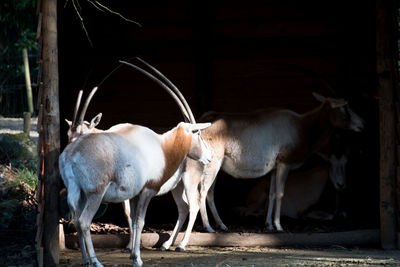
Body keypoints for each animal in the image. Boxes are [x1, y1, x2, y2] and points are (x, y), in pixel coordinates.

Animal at [59, 61, 212, 267]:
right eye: (198, 133)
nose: (209, 157)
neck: (162, 146)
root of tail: (71, 153)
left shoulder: (134, 194)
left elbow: (132, 220)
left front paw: (133, 254)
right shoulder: (147, 190)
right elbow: (140, 221)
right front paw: (137, 259)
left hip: (83, 193)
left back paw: (86, 260)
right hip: (95, 194)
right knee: (83, 221)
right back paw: (96, 261)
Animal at [160, 93, 362, 251]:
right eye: (345, 107)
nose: (362, 124)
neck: (301, 125)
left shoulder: (274, 168)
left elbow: (272, 194)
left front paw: (269, 224)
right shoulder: (284, 163)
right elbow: (281, 193)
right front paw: (279, 226)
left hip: (214, 166)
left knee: (209, 193)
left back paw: (222, 226)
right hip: (212, 165)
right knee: (203, 193)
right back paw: (209, 227)